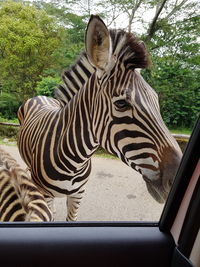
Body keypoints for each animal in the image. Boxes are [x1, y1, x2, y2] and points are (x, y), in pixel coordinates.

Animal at [17, 16, 183, 222]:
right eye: (121, 104)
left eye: (156, 100)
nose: (177, 179)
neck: (75, 161)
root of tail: (40, 96)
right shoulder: (45, 193)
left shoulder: (78, 194)